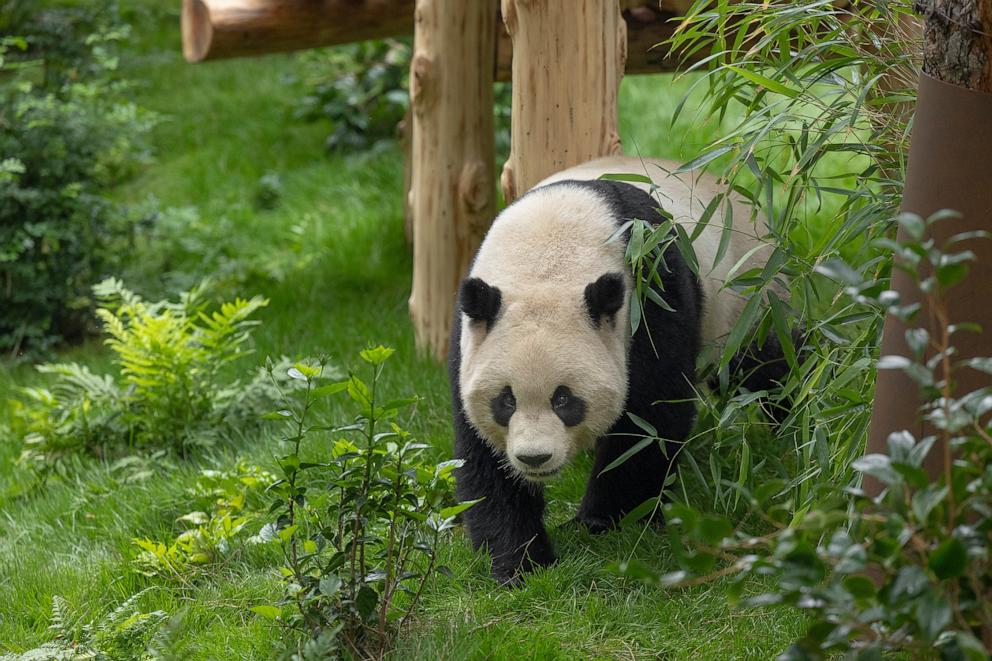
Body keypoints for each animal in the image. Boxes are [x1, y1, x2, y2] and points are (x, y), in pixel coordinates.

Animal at [450, 156, 784, 584]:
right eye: (505, 401)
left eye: (564, 400)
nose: (534, 458)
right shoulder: (471, 336)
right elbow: (482, 455)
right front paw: (519, 561)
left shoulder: (651, 289)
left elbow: (650, 418)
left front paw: (605, 521)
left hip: (748, 298)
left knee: (768, 365)